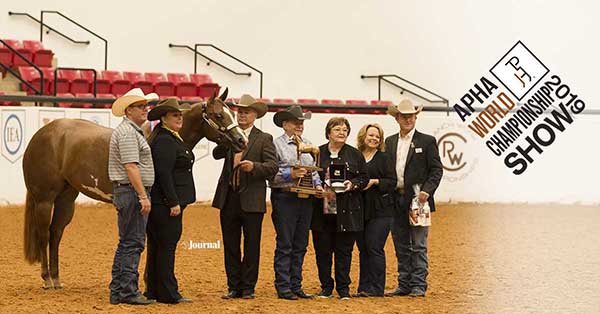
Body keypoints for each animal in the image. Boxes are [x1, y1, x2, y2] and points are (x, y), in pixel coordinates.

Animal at [21, 89, 246, 290]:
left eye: (232, 114)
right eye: (219, 115)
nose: (242, 140)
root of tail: (42, 134)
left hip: (66, 199)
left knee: (55, 233)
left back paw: (56, 279)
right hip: (44, 200)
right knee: (44, 234)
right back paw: (47, 279)